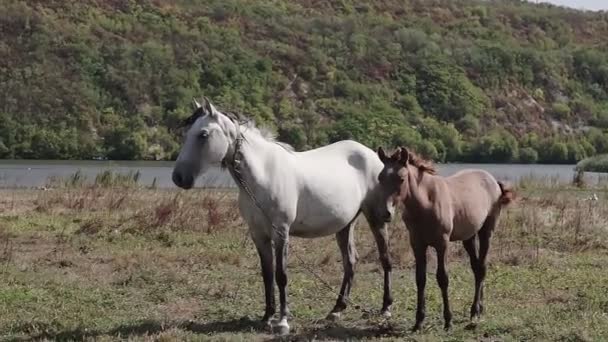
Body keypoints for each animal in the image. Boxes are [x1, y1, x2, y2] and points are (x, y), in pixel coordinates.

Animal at [173, 97, 396, 336]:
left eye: (203, 134)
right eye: (187, 132)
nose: (178, 177)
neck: (264, 175)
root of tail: (371, 155)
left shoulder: (281, 232)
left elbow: (281, 275)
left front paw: (282, 322)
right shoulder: (258, 235)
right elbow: (267, 274)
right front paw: (267, 317)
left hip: (376, 218)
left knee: (385, 259)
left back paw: (386, 308)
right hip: (345, 225)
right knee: (350, 262)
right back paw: (336, 310)